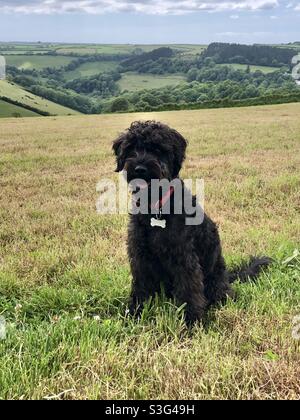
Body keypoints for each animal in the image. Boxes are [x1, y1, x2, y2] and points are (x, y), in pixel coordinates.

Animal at [113, 121, 272, 324]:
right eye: (131, 148)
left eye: (157, 149)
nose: (140, 168)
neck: (157, 206)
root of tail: (227, 277)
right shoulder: (140, 255)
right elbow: (141, 286)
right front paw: (135, 313)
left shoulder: (184, 256)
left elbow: (189, 290)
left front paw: (192, 321)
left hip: (215, 281)